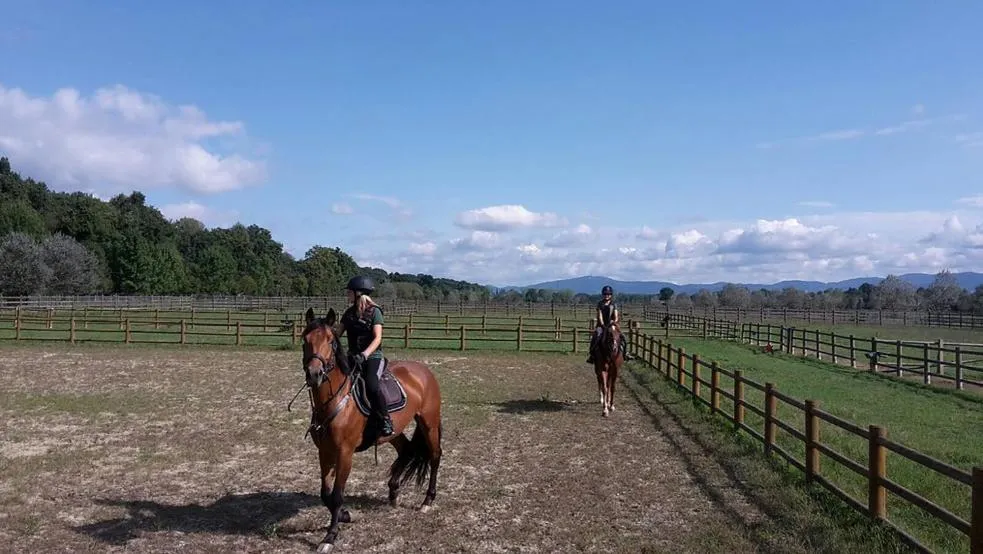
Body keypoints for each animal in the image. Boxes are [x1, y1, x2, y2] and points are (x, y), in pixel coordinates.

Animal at [298, 307, 443, 553]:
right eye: (305, 340)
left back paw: (427, 501)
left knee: (434, 456)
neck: (336, 400)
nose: (314, 374)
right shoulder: (324, 452)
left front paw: (330, 536)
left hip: (429, 423)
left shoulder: (344, 453)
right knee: (406, 450)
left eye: (330, 341)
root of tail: (425, 371)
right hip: (393, 431)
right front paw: (345, 515)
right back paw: (393, 492)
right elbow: (325, 494)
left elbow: (337, 495)